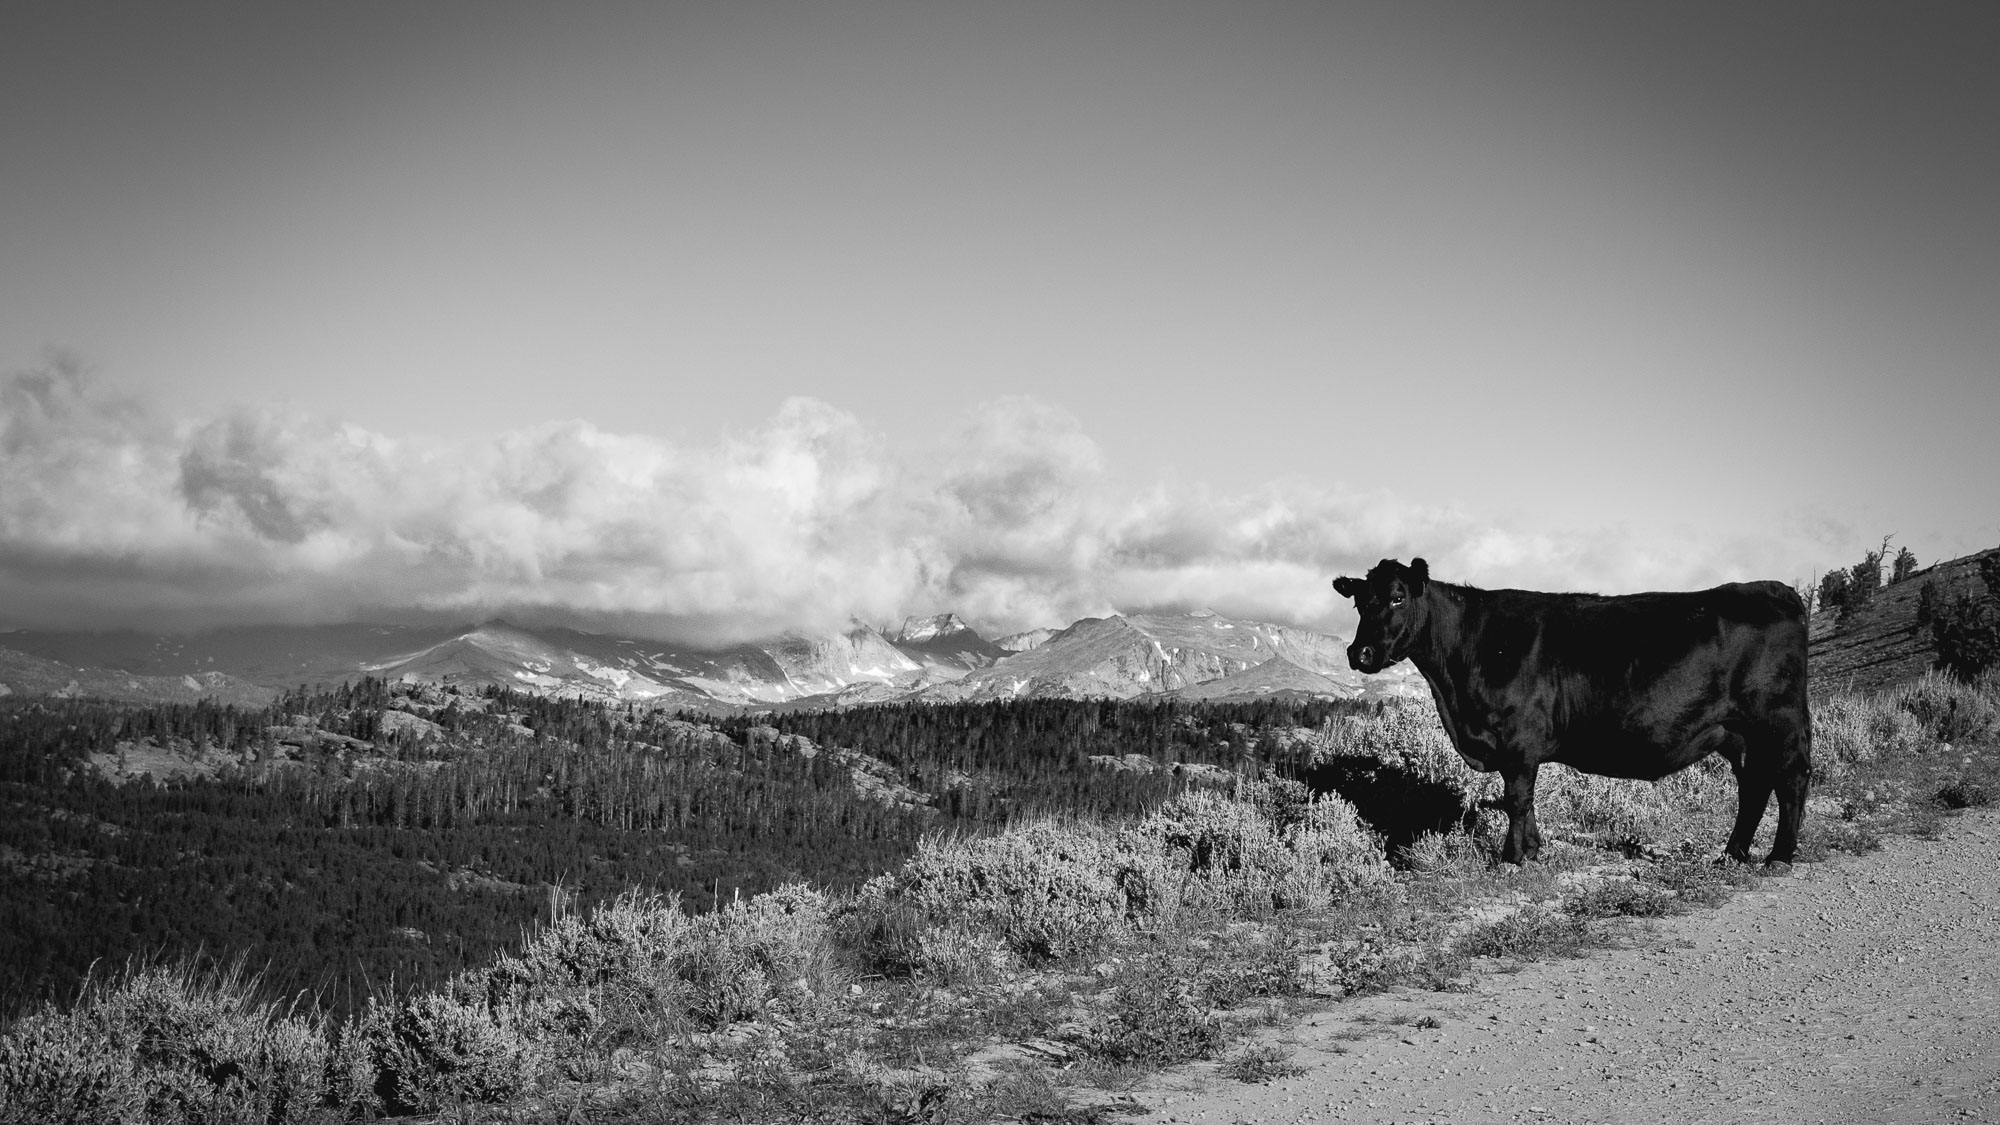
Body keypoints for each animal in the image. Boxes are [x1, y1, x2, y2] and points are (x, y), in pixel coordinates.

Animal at [1331, 558, 1811, 866]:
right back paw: (1732, 854)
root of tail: (1778, 589)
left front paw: (1512, 858)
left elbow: (1517, 799)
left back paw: (1778, 856)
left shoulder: (1518, 740)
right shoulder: (1514, 748)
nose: (1360, 653)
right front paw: (1533, 851)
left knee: (1790, 779)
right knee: (1754, 787)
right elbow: (1523, 800)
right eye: (1358, 602)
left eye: (1397, 597)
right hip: (1740, 734)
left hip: (1776, 722)